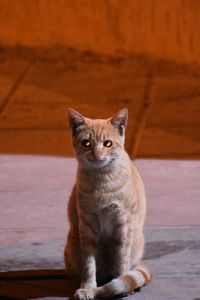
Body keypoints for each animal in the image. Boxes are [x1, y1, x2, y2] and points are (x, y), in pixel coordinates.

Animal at [64, 106, 152, 298]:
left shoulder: (122, 221)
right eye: (86, 143)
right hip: (73, 247)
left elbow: (121, 260)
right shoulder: (87, 223)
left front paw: (121, 285)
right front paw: (88, 288)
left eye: (108, 144)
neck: (101, 181)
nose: (97, 155)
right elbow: (89, 265)